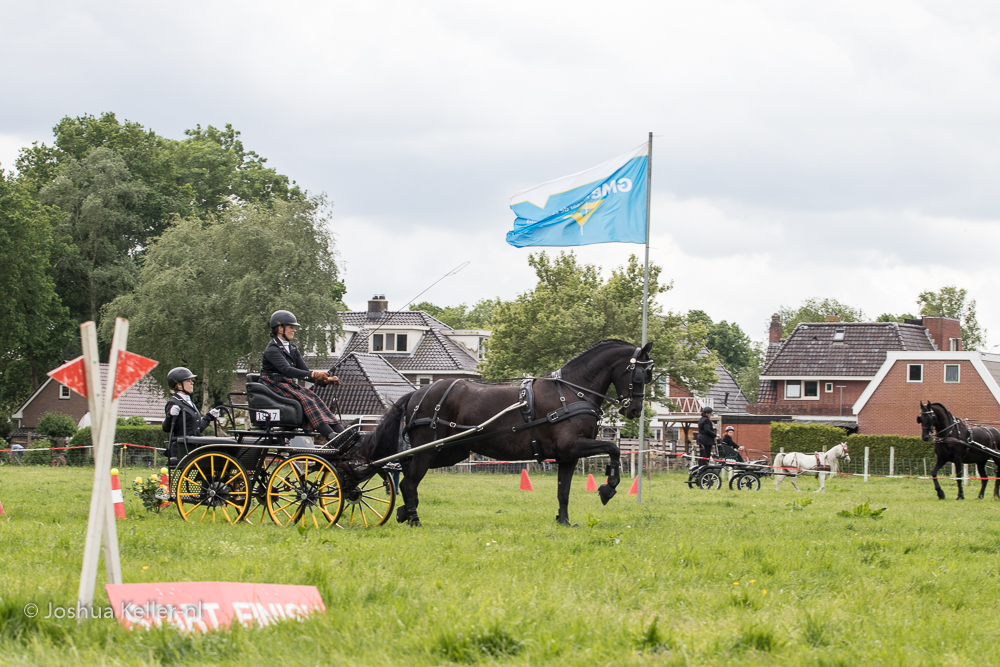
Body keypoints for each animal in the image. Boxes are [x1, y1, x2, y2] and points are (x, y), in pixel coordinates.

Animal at [364, 342, 652, 524]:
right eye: (640, 375)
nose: (635, 409)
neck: (572, 391)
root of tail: (418, 393)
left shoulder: (567, 456)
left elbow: (564, 491)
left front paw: (564, 521)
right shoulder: (573, 445)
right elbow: (613, 449)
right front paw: (608, 488)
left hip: (449, 452)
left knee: (403, 473)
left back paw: (402, 511)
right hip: (430, 450)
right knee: (408, 482)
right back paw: (413, 519)